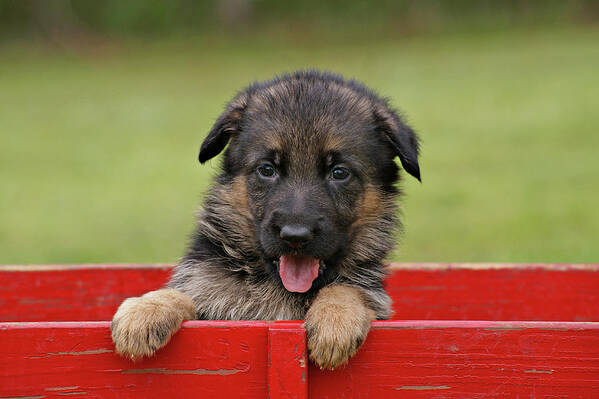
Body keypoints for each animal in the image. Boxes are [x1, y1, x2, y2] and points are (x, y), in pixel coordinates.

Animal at [112, 69, 422, 372]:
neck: (278, 287)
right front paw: (146, 310)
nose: (295, 236)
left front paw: (336, 319)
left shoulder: (372, 296)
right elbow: (183, 294)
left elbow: (348, 289)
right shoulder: (209, 294)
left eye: (339, 172)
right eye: (267, 169)